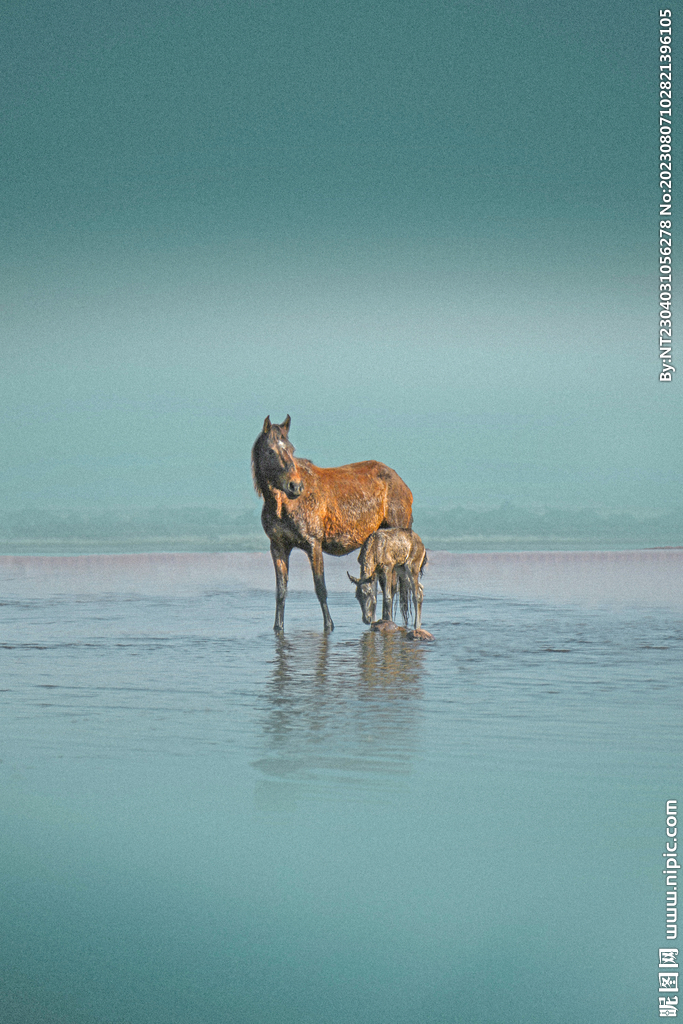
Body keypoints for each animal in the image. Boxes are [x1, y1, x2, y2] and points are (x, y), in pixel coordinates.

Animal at [252, 415, 413, 632]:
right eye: (270, 450)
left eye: (292, 449)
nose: (295, 486)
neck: (283, 505)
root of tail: (403, 486)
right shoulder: (278, 546)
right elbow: (281, 590)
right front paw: (278, 627)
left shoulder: (313, 543)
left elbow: (320, 587)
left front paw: (329, 625)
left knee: (392, 585)